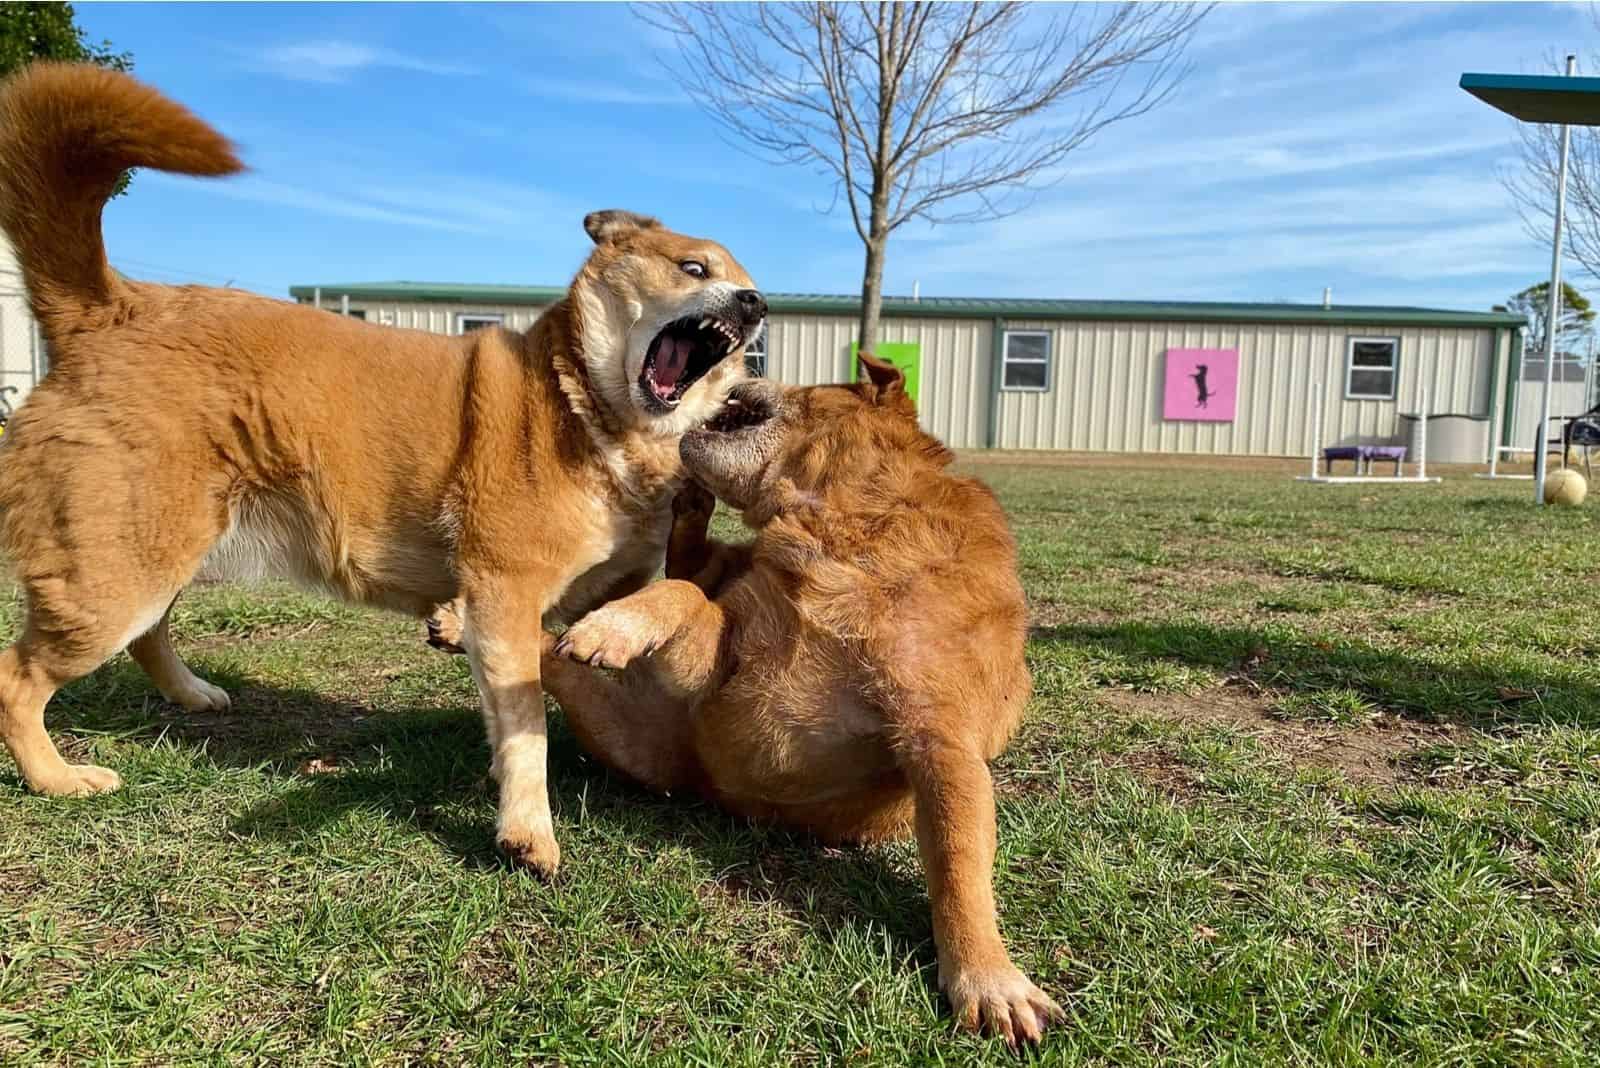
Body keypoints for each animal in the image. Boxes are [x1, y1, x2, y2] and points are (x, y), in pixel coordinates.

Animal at [0, 64, 761, 876]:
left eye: (753, 289)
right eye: (693, 266)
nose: (756, 304)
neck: (584, 404)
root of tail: (112, 308)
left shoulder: (594, 588)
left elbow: (652, 609)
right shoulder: (506, 592)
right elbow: (527, 722)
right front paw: (527, 827)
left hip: (158, 554)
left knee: (148, 634)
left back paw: (192, 695)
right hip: (113, 578)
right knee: (19, 680)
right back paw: (54, 778)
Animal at [428, 354, 1062, 1036]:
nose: (746, 367)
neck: (846, 525)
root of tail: (716, 791)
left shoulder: (940, 744)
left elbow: (959, 863)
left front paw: (988, 978)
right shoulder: (725, 656)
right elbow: (685, 592)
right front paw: (616, 620)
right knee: (589, 623)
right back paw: (474, 619)